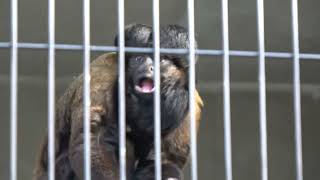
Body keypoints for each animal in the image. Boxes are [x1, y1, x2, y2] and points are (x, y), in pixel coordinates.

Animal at [33, 23, 204, 180]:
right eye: (139, 59)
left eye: (162, 60)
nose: (149, 68)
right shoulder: (105, 74)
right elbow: (90, 142)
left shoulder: (192, 102)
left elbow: (171, 158)